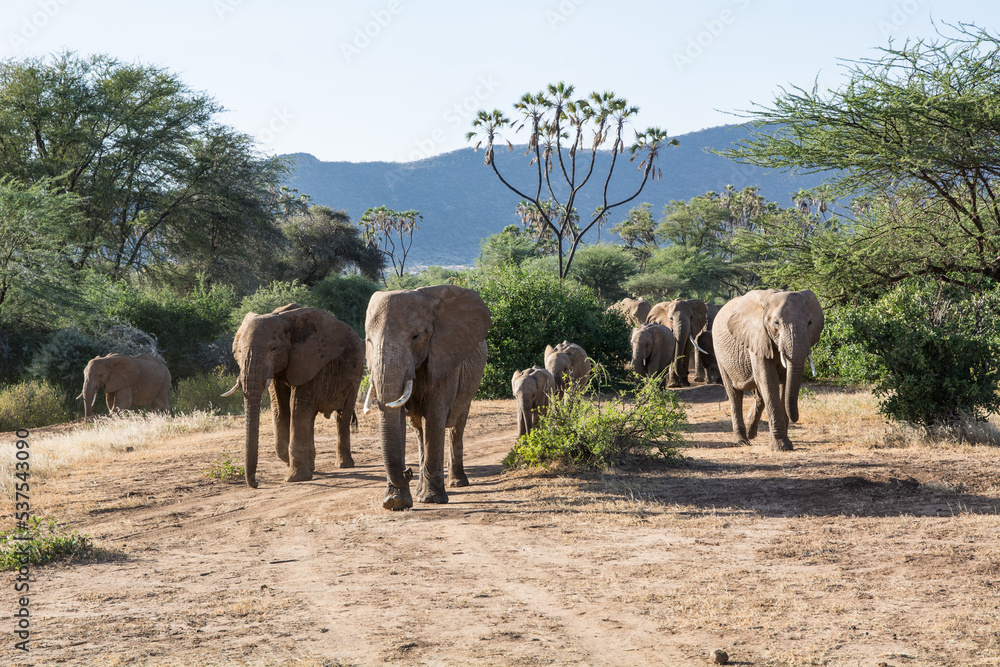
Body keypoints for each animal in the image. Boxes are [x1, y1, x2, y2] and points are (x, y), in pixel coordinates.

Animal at [224, 304, 364, 488]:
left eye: (274, 349)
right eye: (239, 351)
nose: (256, 483)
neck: (282, 318)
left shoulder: (312, 360)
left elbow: (298, 406)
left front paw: (295, 478)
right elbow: (280, 407)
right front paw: (298, 467)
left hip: (357, 371)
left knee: (343, 415)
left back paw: (343, 465)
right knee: (311, 417)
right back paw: (312, 465)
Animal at [363, 284, 492, 511]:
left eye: (416, 336)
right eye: (368, 340)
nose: (408, 471)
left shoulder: (445, 356)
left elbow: (435, 416)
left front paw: (432, 500)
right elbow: (398, 419)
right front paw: (395, 503)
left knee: (457, 425)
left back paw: (457, 483)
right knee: (418, 429)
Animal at [714, 289, 824, 451]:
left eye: (810, 322)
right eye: (776, 323)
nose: (796, 418)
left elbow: (784, 382)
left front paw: (786, 444)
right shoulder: (758, 337)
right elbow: (768, 380)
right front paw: (780, 446)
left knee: (759, 395)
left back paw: (750, 433)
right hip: (719, 354)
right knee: (734, 394)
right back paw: (742, 441)